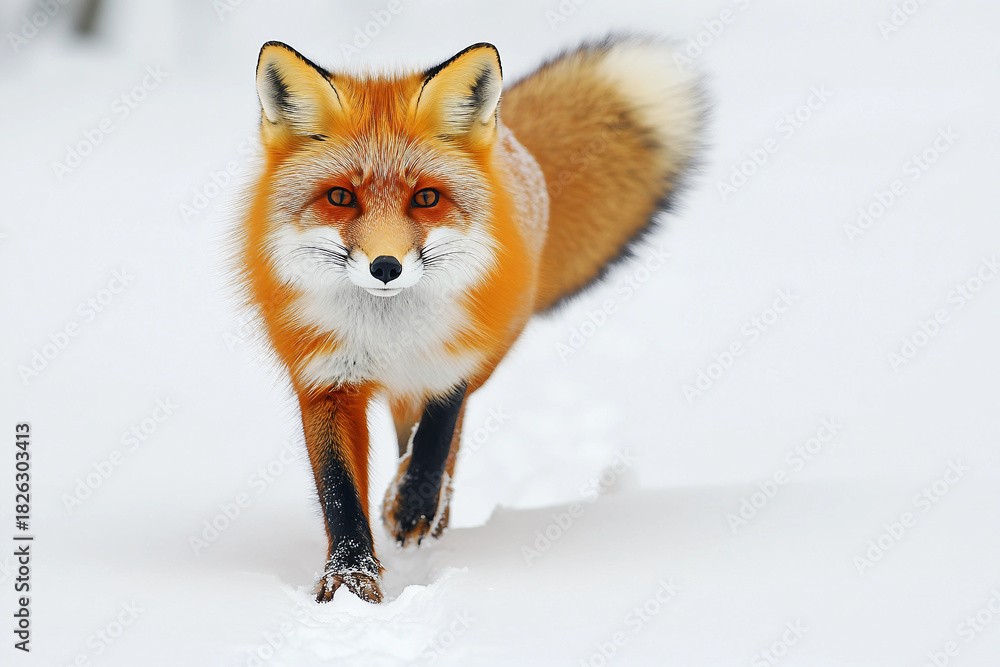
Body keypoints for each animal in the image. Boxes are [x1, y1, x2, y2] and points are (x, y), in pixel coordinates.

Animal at [233, 35, 704, 603]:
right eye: (341, 197)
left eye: (426, 198)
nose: (385, 267)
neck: (388, 334)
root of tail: (512, 143)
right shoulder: (325, 379)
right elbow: (340, 493)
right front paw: (349, 582)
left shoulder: (453, 358)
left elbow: (437, 438)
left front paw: (412, 505)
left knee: (444, 446)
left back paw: (422, 515)